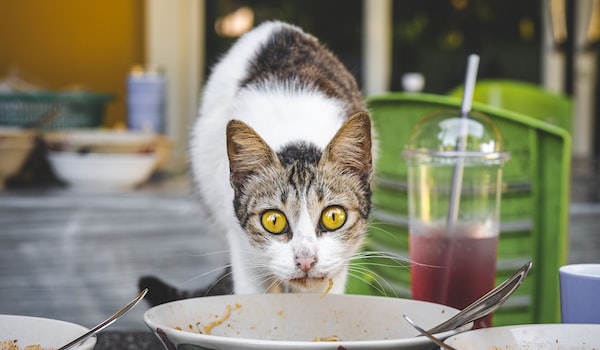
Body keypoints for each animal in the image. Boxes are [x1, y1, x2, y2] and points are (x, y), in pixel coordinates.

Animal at [141, 19, 376, 300]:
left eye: (333, 216)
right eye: (273, 221)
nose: (306, 260)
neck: (296, 136)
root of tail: (274, 26)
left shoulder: (337, 264)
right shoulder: (243, 249)